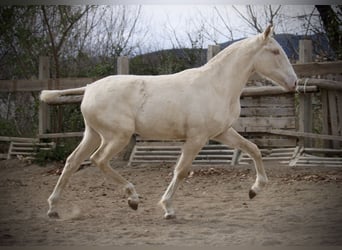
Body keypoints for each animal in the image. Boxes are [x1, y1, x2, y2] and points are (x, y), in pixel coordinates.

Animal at [40, 25, 296, 220]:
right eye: (275, 51)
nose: (294, 82)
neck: (216, 85)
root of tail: (89, 88)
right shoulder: (197, 138)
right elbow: (181, 170)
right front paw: (168, 209)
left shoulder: (222, 132)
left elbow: (253, 149)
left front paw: (255, 190)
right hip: (117, 136)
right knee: (98, 160)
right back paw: (132, 198)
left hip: (93, 134)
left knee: (72, 161)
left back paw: (53, 208)